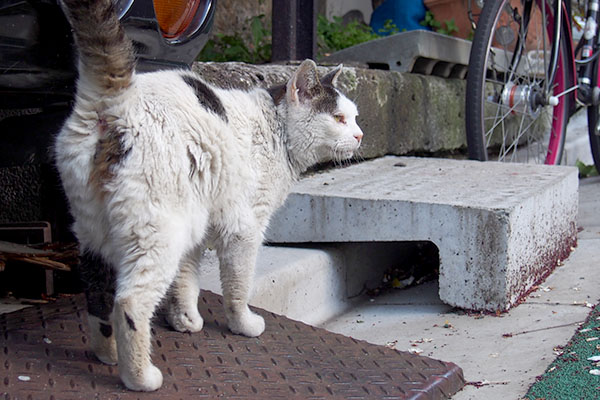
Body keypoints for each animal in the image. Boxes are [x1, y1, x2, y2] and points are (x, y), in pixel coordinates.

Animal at [56, 0, 364, 392]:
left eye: (354, 117)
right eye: (339, 118)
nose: (360, 135)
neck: (275, 132)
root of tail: (114, 102)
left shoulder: (200, 223)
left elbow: (186, 278)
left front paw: (186, 319)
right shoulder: (244, 228)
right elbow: (238, 285)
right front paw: (243, 324)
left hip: (95, 228)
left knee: (97, 293)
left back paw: (106, 353)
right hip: (158, 233)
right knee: (129, 302)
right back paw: (139, 376)